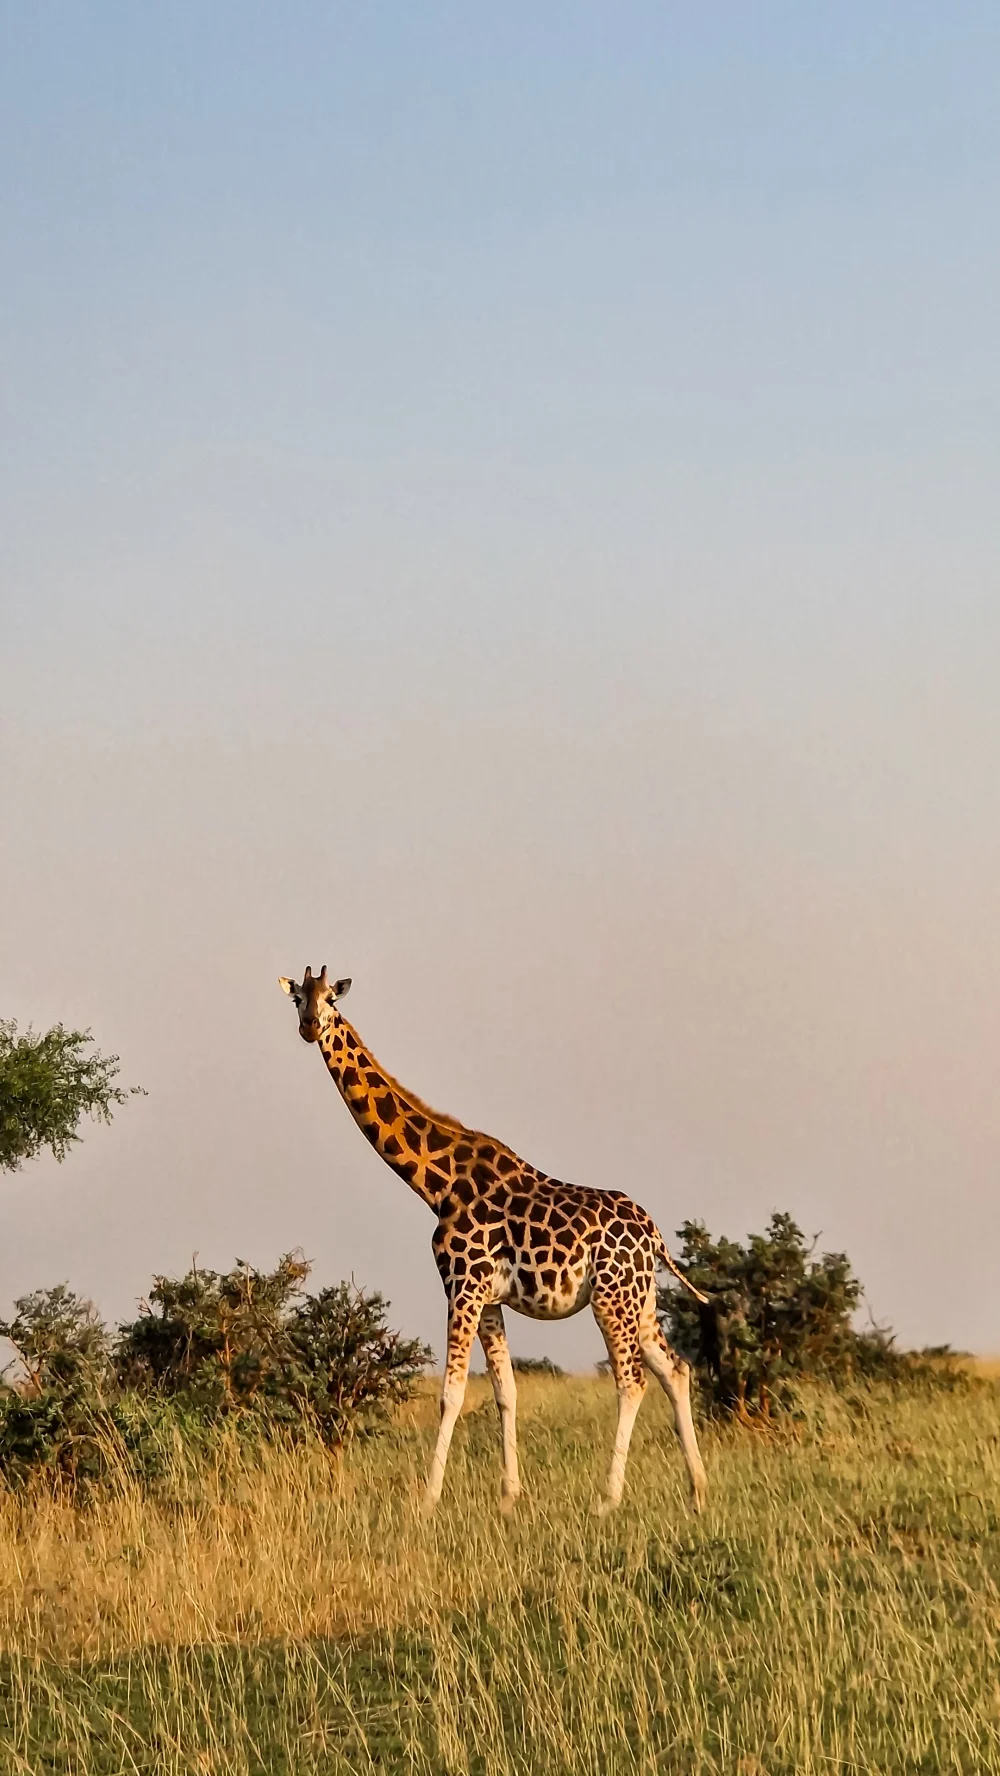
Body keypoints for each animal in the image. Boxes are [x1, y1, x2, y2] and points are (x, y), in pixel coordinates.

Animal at [277, 973, 706, 1513]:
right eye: (298, 998)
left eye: (332, 999)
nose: (310, 1026)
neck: (436, 1184)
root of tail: (655, 1236)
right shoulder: (491, 1297)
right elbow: (506, 1391)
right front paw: (508, 1495)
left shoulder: (463, 1285)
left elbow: (452, 1393)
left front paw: (428, 1498)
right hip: (640, 1299)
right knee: (677, 1370)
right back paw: (698, 1491)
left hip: (611, 1296)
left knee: (632, 1380)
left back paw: (608, 1498)